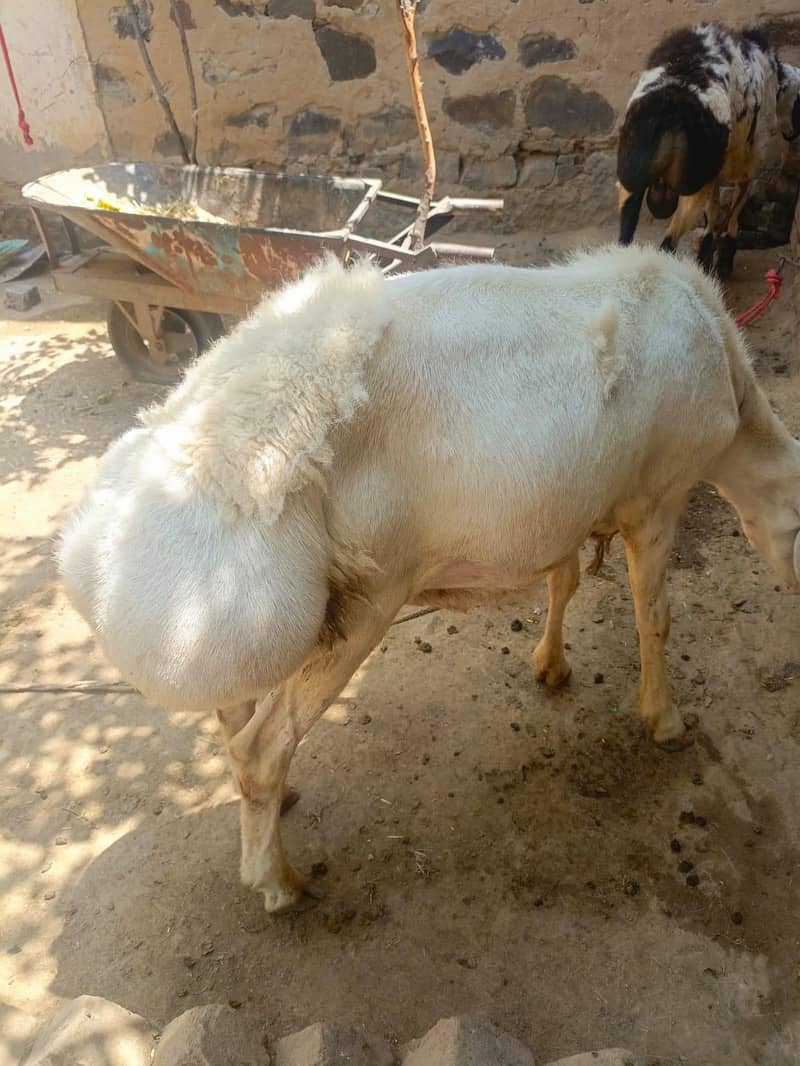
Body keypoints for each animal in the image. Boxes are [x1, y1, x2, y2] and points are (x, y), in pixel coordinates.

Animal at [58, 248, 800, 913]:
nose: (793, 595)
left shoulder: (566, 507)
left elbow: (562, 585)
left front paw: (551, 665)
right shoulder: (658, 498)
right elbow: (655, 616)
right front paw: (665, 718)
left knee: (239, 724)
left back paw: (271, 815)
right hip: (362, 603)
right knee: (261, 747)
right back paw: (278, 883)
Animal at [617, 23, 800, 279]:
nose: (793, 135)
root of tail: (671, 106)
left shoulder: (717, 173)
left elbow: (714, 211)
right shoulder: (745, 164)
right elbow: (733, 209)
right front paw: (722, 261)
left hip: (631, 176)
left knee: (625, 239)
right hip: (693, 183)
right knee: (667, 244)